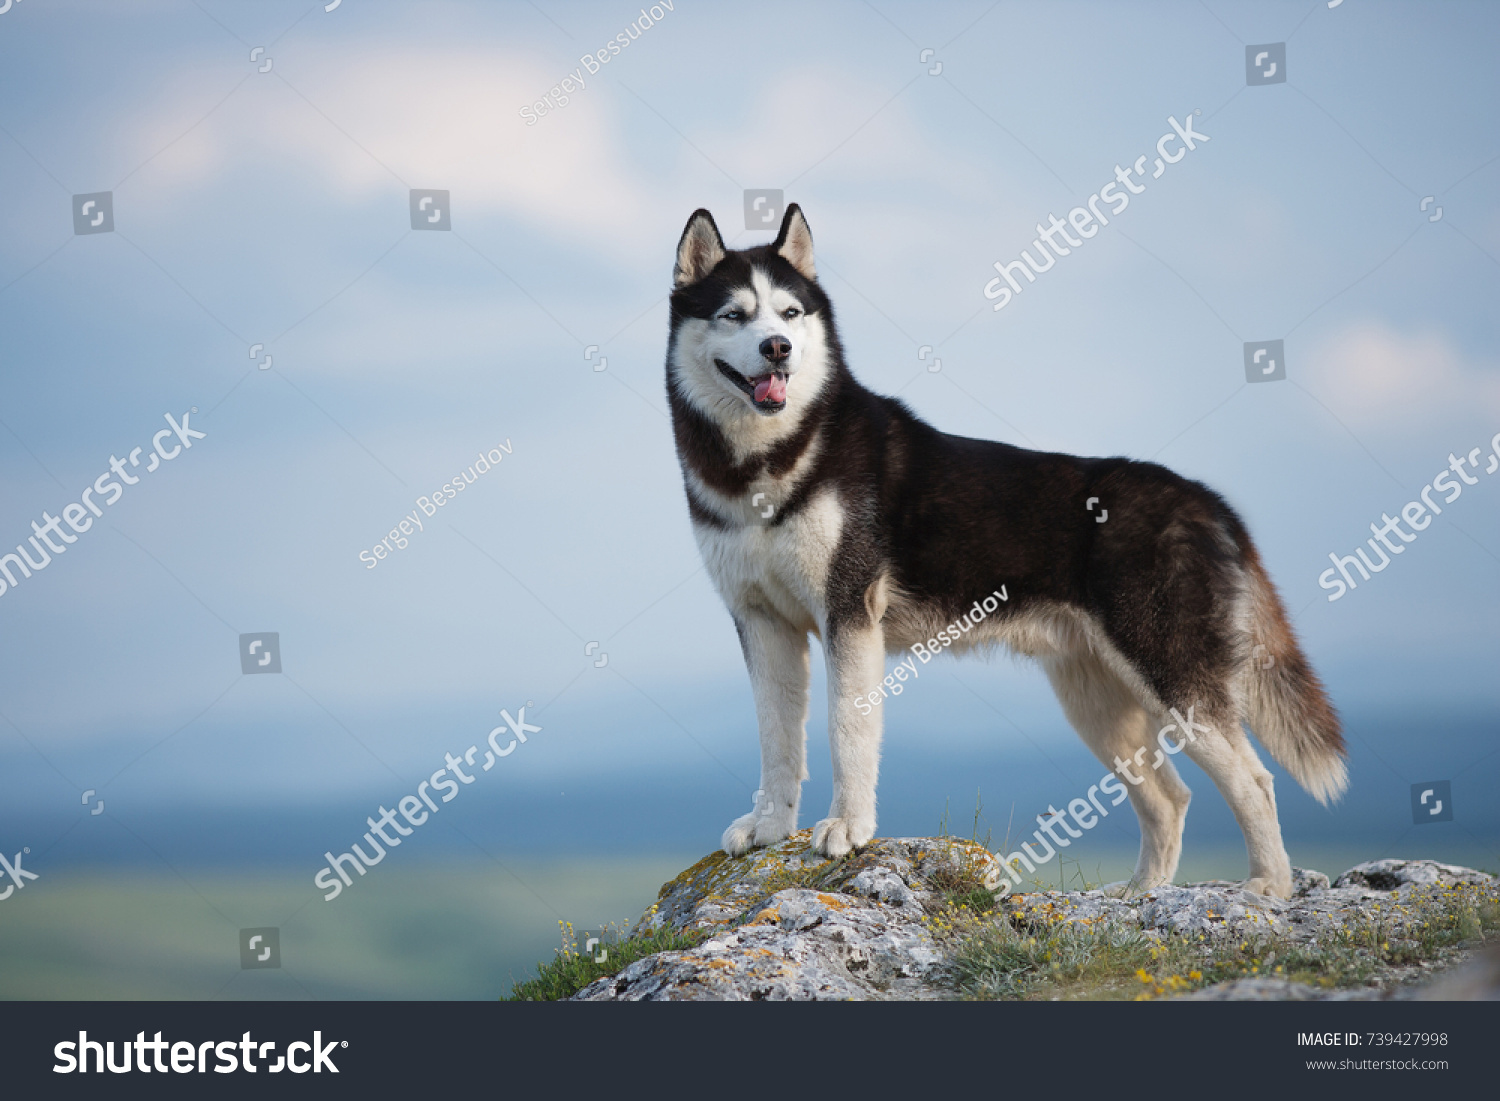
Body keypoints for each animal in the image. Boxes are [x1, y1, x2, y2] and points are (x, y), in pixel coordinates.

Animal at [663, 205, 1344, 900]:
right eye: (735, 315)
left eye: (790, 313)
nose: (778, 348)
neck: (769, 460)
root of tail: (1207, 498)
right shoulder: (762, 623)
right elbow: (776, 739)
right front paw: (770, 826)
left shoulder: (848, 615)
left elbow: (846, 731)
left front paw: (847, 827)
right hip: (1095, 698)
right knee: (1169, 796)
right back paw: (1141, 893)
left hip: (1171, 675)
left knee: (1254, 781)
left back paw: (1267, 889)